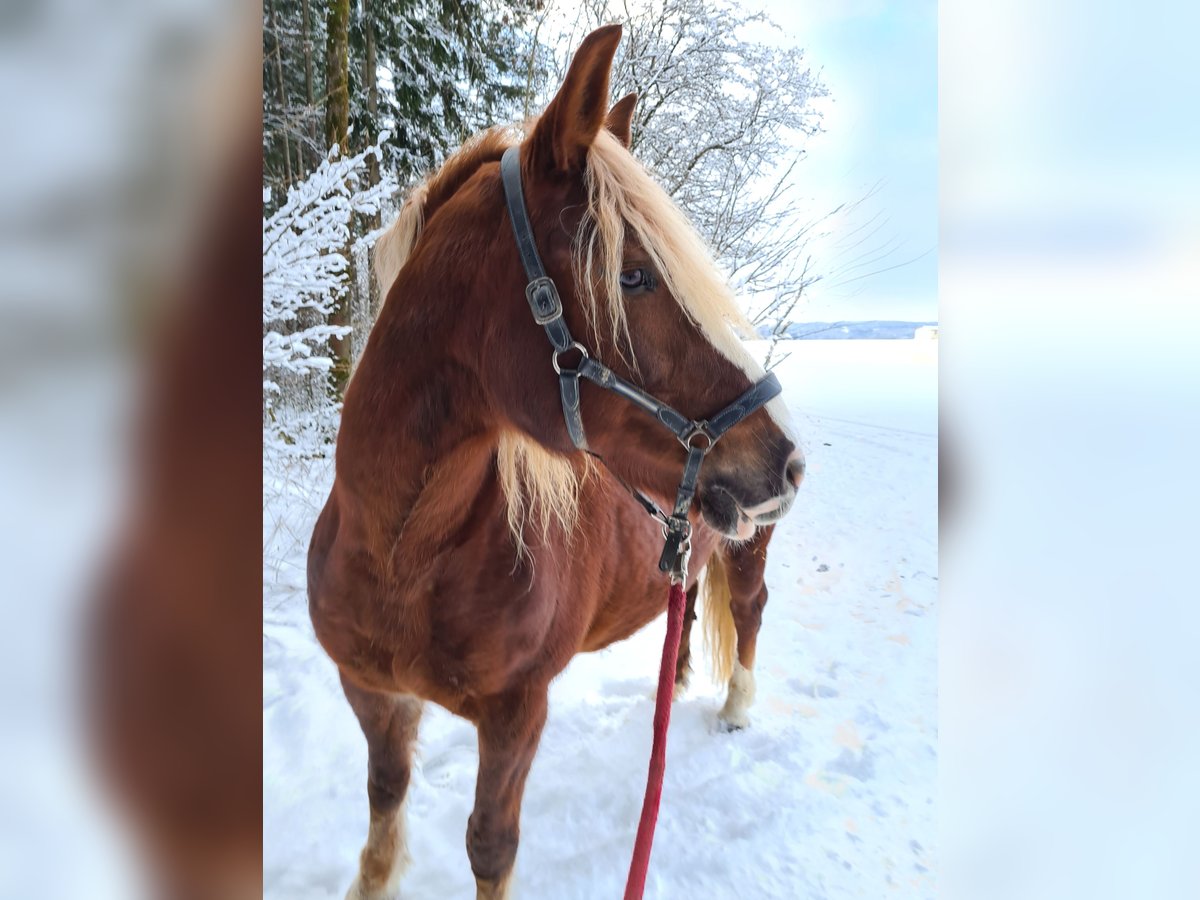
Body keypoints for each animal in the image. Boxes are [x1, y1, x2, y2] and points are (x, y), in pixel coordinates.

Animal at [304, 24, 801, 897]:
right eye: (632, 276)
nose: (783, 461)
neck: (405, 551)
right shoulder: (370, 692)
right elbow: (384, 799)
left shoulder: (516, 712)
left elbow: (489, 844)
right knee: (688, 608)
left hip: (750, 547)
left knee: (749, 608)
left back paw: (736, 707)